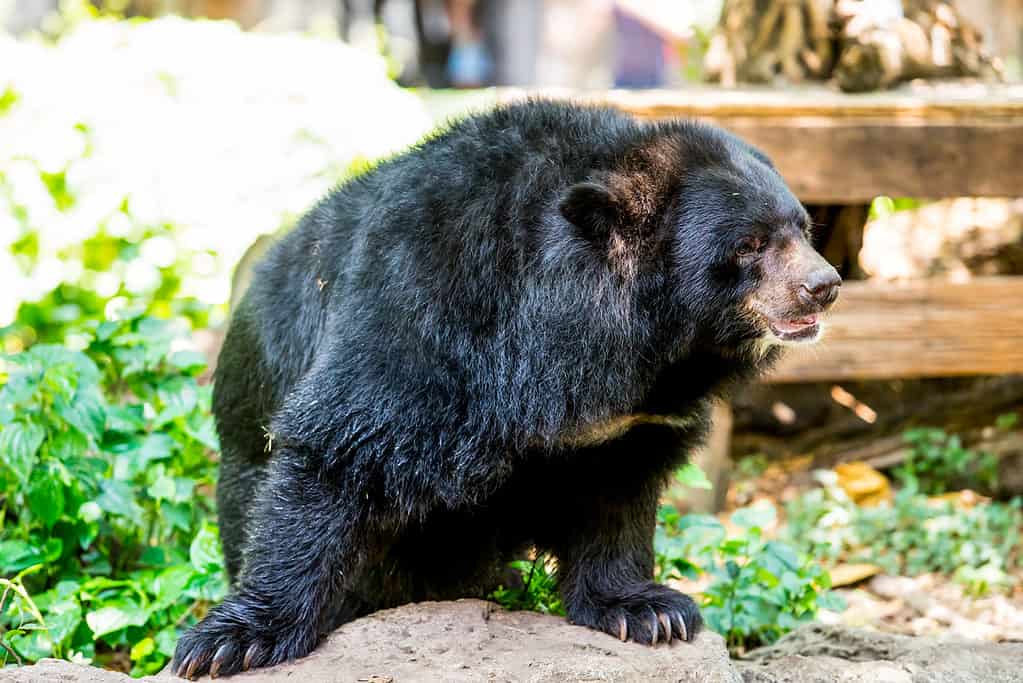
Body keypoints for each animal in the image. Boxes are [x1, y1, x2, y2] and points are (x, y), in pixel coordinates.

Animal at [173, 97, 838, 678]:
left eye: (804, 229)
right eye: (749, 244)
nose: (824, 286)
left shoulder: (630, 420)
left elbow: (617, 495)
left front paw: (648, 611)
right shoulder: (425, 304)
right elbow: (343, 444)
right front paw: (230, 642)